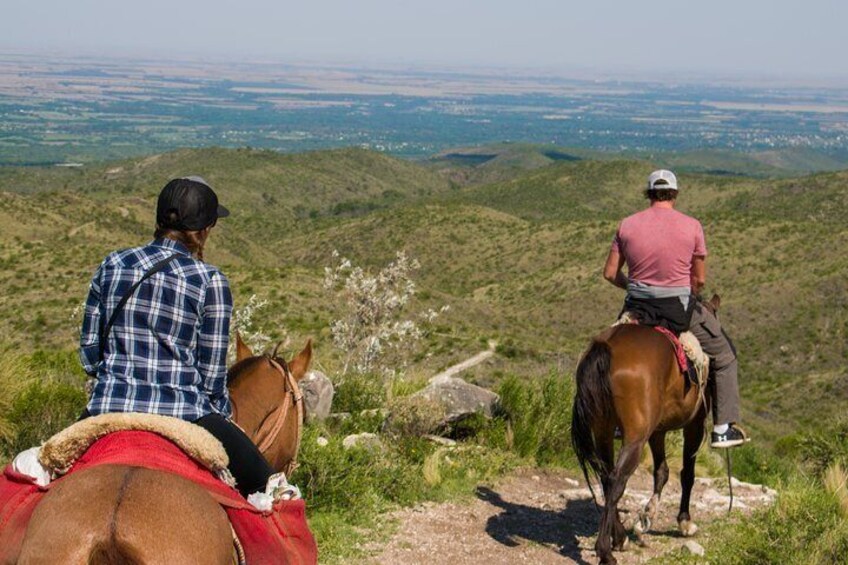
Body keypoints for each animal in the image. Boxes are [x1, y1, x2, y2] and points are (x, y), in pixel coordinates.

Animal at [568, 298, 716, 560]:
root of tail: (606, 347)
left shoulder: (656, 431)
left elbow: (662, 471)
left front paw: (647, 515)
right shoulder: (695, 425)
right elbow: (687, 474)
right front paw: (684, 522)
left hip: (604, 430)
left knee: (606, 476)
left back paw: (620, 538)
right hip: (635, 437)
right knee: (616, 479)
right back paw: (606, 551)